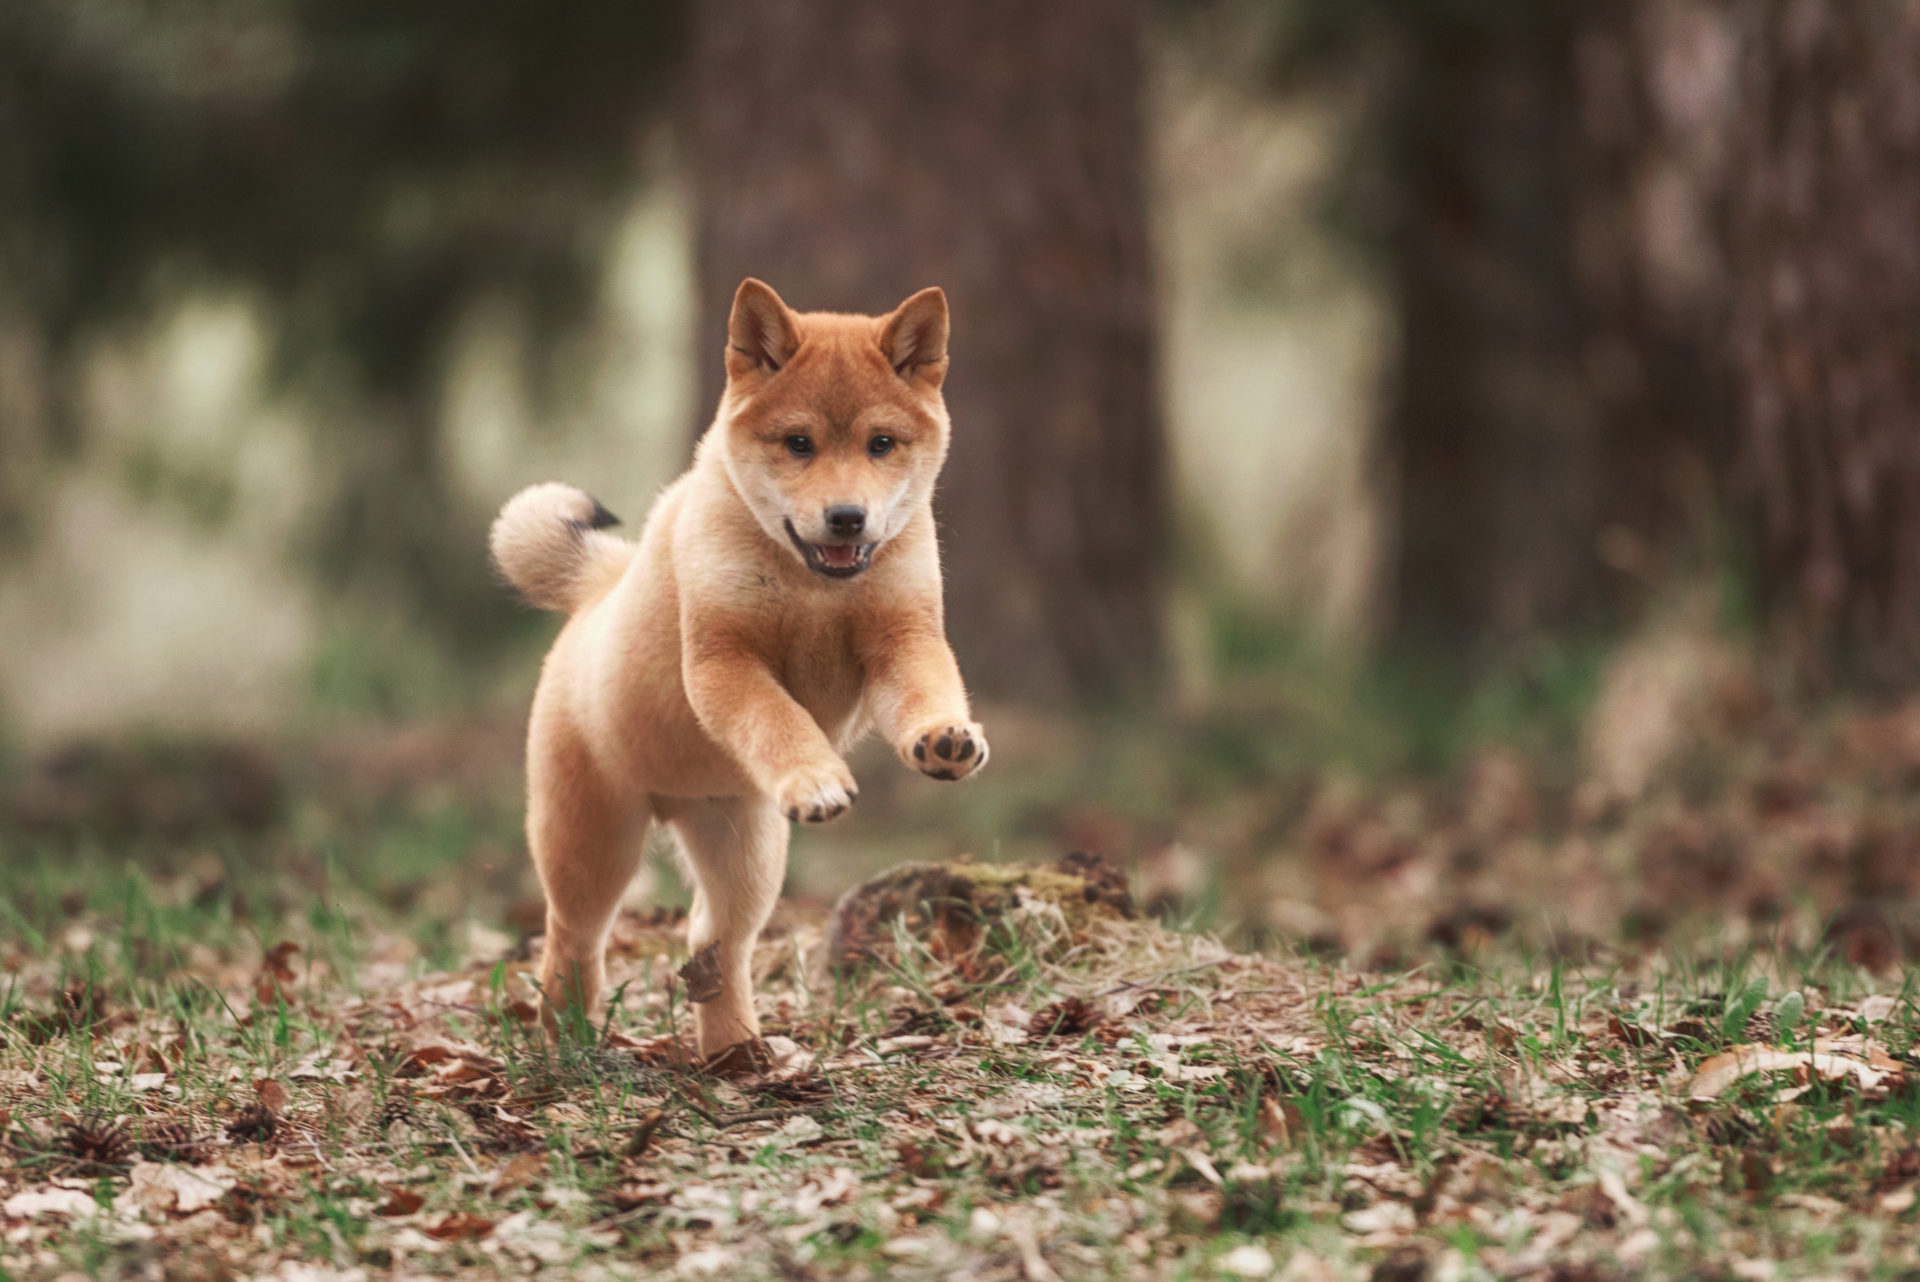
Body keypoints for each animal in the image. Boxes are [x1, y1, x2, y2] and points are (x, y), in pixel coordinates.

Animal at [487, 278, 990, 1051]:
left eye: (880, 444)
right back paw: (566, 1040)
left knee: (712, 938)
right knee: (573, 938)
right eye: (798, 443)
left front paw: (945, 739)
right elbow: (777, 722)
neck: (814, 586)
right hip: (591, 845)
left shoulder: (903, 640)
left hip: (745, 847)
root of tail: (601, 586)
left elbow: (928, 693)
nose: (848, 517)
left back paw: (737, 1051)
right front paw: (816, 778)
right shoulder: (726, 660)